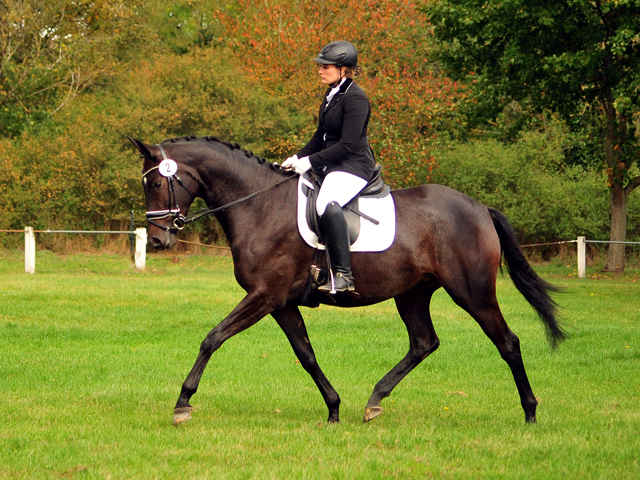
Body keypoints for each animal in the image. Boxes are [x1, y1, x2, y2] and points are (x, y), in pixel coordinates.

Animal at [130, 134, 564, 424]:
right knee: (424, 342)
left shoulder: (264, 296)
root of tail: (479, 208)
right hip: (412, 293)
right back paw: (374, 400)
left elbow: (212, 338)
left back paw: (530, 413)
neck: (259, 205)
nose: (158, 240)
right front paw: (334, 408)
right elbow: (306, 354)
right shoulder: (281, 303)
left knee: (507, 342)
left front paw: (183, 403)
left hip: (472, 292)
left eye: (156, 182)